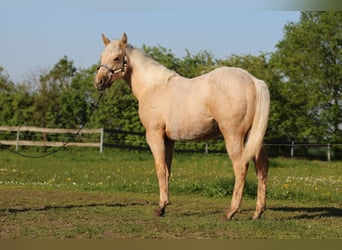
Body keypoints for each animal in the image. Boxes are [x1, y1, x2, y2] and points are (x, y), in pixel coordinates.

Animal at [93, 32, 270, 219]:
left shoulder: (154, 135)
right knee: (262, 167)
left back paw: (231, 212)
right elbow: (167, 171)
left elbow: (160, 169)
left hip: (233, 135)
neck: (153, 86)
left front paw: (160, 207)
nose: (99, 82)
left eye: (117, 57)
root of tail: (254, 81)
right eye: (102, 56)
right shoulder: (169, 140)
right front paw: (164, 206)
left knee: (241, 167)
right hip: (254, 138)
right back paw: (258, 212)